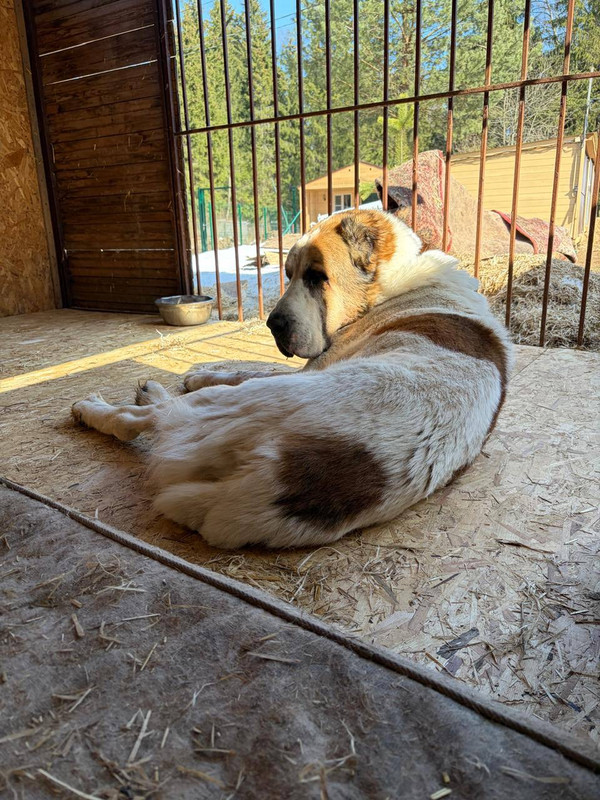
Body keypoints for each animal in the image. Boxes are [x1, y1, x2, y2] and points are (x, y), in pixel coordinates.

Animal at [72, 210, 513, 549]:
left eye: (317, 276)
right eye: (286, 273)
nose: (272, 324)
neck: (392, 286)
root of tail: (282, 475)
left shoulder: (313, 364)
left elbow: (245, 369)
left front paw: (196, 375)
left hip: (229, 405)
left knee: (141, 420)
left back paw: (109, 404)